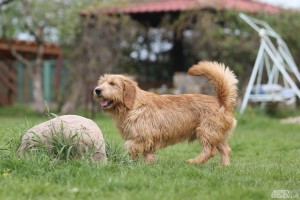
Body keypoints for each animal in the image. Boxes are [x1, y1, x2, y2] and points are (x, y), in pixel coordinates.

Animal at [92, 61, 238, 166]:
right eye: (101, 82)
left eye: (112, 84)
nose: (97, 90)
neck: (134, 105)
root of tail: (221, 101)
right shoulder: (149, 138)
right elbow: (148, 153)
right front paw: (148, 164)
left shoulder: (142, 136)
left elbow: (130, 146)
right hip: (217, 135)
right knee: (226, 150)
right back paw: (223, 166)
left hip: (206, 131)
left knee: (210, 151)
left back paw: (194, 162)